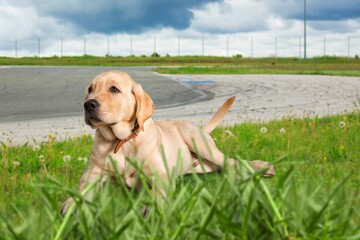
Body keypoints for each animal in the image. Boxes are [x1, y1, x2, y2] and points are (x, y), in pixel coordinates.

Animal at [61, 71, 276, 214]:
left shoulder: (160, 174)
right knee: (225, 166)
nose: (88, 104)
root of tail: (201, 130)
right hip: (203, 166)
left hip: (196, 140)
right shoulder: (94, 173)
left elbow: (158, 193)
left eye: (114, 89)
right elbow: (82, 189)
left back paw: (260, 167)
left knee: (231, 161)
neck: (121, 141)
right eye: (90, 90)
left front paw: (151, 208)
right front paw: (71, 203)